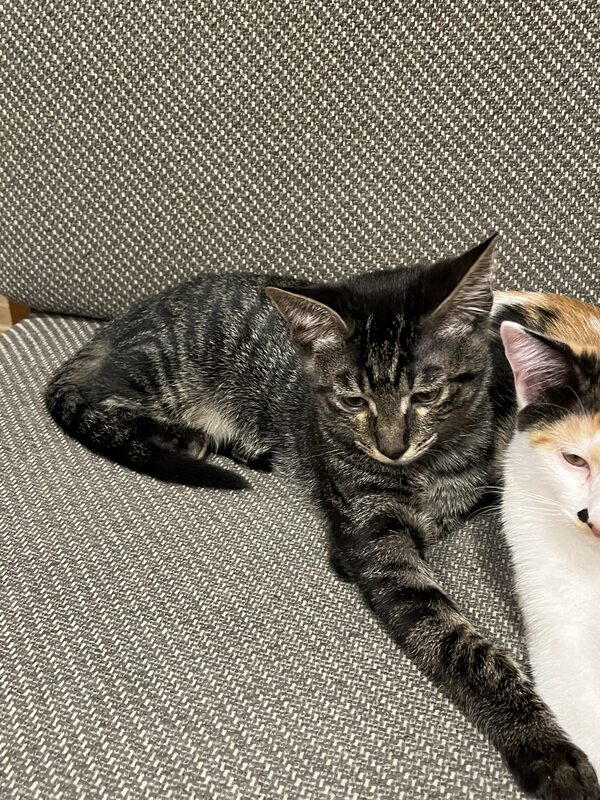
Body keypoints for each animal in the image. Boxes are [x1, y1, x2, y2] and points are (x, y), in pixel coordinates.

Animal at [46, 237, 599, 799]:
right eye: (353, 400)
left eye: (426, 394)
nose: (390, 447)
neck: (430, 467)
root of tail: (122, 321)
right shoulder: (370, 541)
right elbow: (454, 640)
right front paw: (545, 744)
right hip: (160, 367)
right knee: (93, 399)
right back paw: (180, 435)